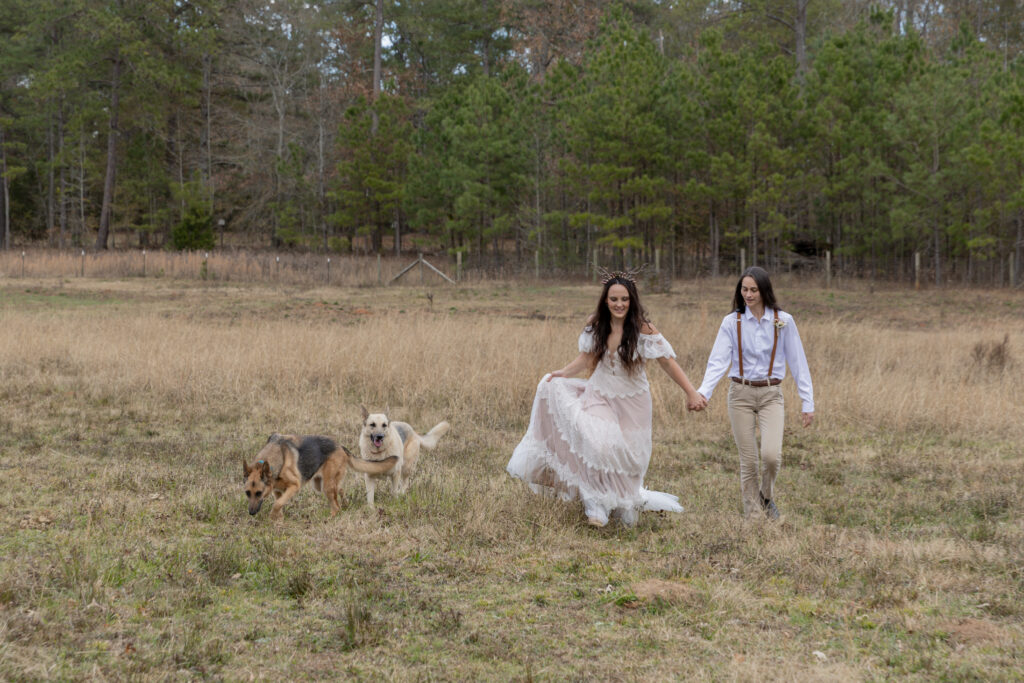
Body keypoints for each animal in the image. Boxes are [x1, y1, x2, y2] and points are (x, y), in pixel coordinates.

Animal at [241, 436, 397, 520]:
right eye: (247, 493)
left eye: (259, 493)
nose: (251, 513)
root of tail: (340, 446)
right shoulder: (277, 491)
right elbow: (279, 504)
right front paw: (278, 520)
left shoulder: (294, 486)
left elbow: (277, 504)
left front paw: (274, 517)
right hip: (322, 485)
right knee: (340, 490)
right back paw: (345, 504)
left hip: (326, 487)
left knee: (336, 507)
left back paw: (330, 518)